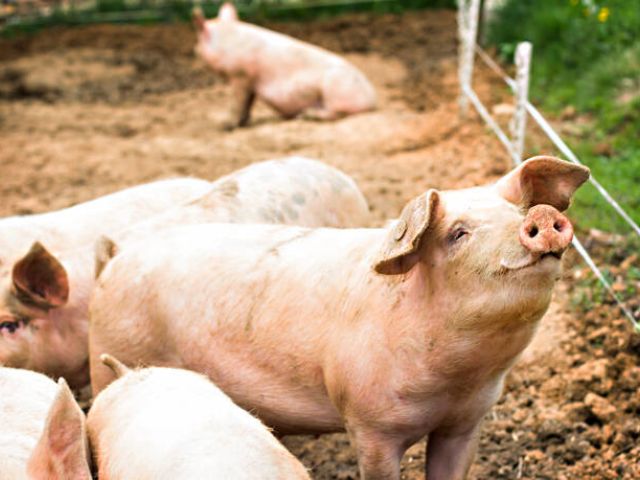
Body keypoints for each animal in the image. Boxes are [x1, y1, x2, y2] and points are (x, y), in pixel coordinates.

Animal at [193, 3, 376, 129]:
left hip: (336, 92)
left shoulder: (240, 74)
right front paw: (244, 123)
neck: (226, 42)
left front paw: (225, 126)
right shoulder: (250, 80)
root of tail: (372, 99)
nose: (194, 50)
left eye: (198, 40)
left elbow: (237, 102)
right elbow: (247, 103)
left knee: (337, 113)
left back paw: (306, 116)